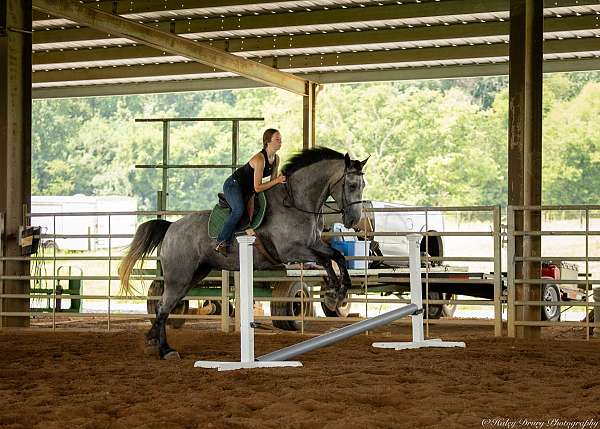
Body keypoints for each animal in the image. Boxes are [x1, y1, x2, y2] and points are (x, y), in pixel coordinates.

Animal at [119, 148, 368, 358]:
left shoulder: (314, 243)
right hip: (178, 277)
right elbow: (326, 260)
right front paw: (333, 295)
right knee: (163, 308)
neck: (296, 203)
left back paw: (151, 340)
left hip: (193, 276)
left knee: (166, 306)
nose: (354, 221)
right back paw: (166, 350)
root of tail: (170, 227)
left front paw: (341, 292)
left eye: (363, 184)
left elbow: (337, 257)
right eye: (351, 185)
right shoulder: (290, 252)